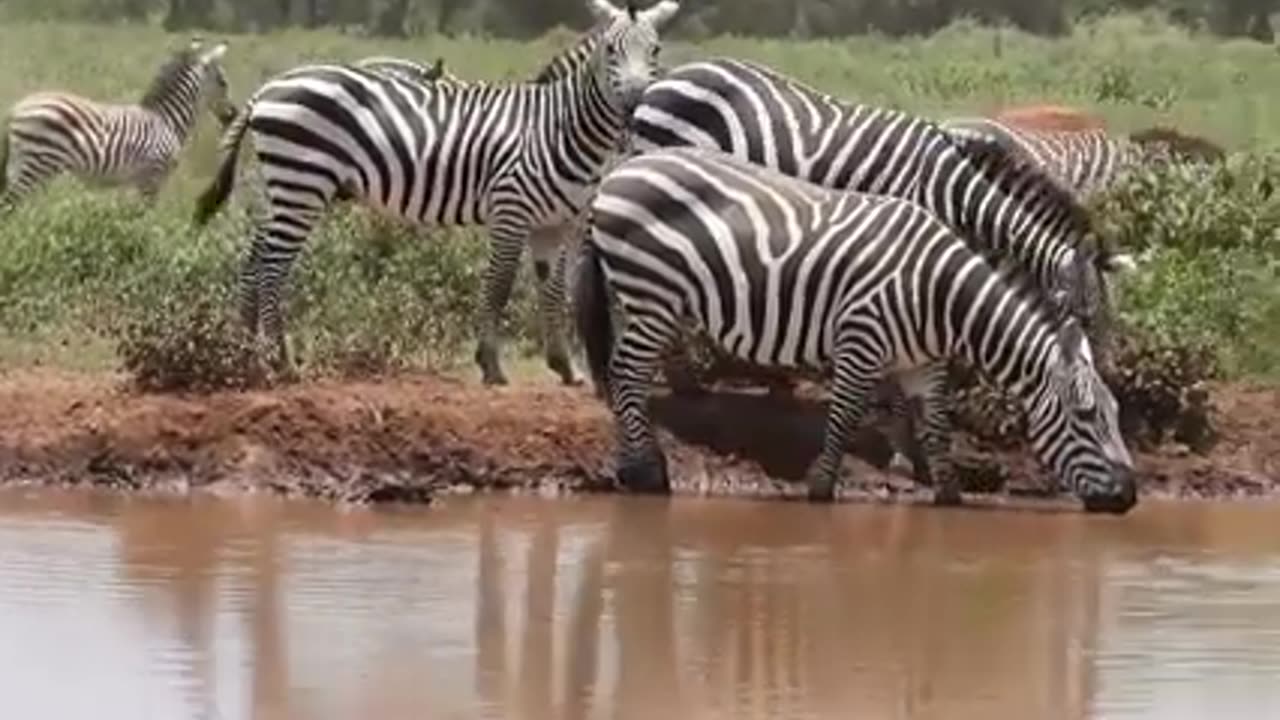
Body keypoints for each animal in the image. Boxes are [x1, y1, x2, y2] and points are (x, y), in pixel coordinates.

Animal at [0, 38, 238, 210]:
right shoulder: (152, 178)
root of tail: (15, 109)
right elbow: (143, 219)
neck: (166, 120)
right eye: (223, 83)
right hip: (35, 164)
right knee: (8, 207)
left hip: (27, 166)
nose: (233, 115)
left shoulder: (139, 181)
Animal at [190, 0, 680, 384]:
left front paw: (565, 367)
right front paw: (491, 366)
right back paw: (283, 363)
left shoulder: (558, 223)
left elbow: (554, 289)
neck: (557, 127)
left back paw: (247, 352)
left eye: (655, 50)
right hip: (302, 185)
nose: (635, 103)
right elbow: (499, 285)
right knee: (272, 267)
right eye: (610, 50)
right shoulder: (511, 209)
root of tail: (268, 88)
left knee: (254, 260)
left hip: (286, 186)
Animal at [576, 146, 1136, 512]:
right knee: (626, 373)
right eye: (1087, 416)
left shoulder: (923, 363)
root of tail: (619, 170)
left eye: (1114, 413)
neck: (938, 294)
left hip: (647, 297)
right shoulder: (861, 340)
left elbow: (937, 427)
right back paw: (649, 473)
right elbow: (844, 417)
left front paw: (948, 494)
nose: (1129, 497)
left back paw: (631, 465)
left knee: (623, 374)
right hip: (653, 292)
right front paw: (821, 488)